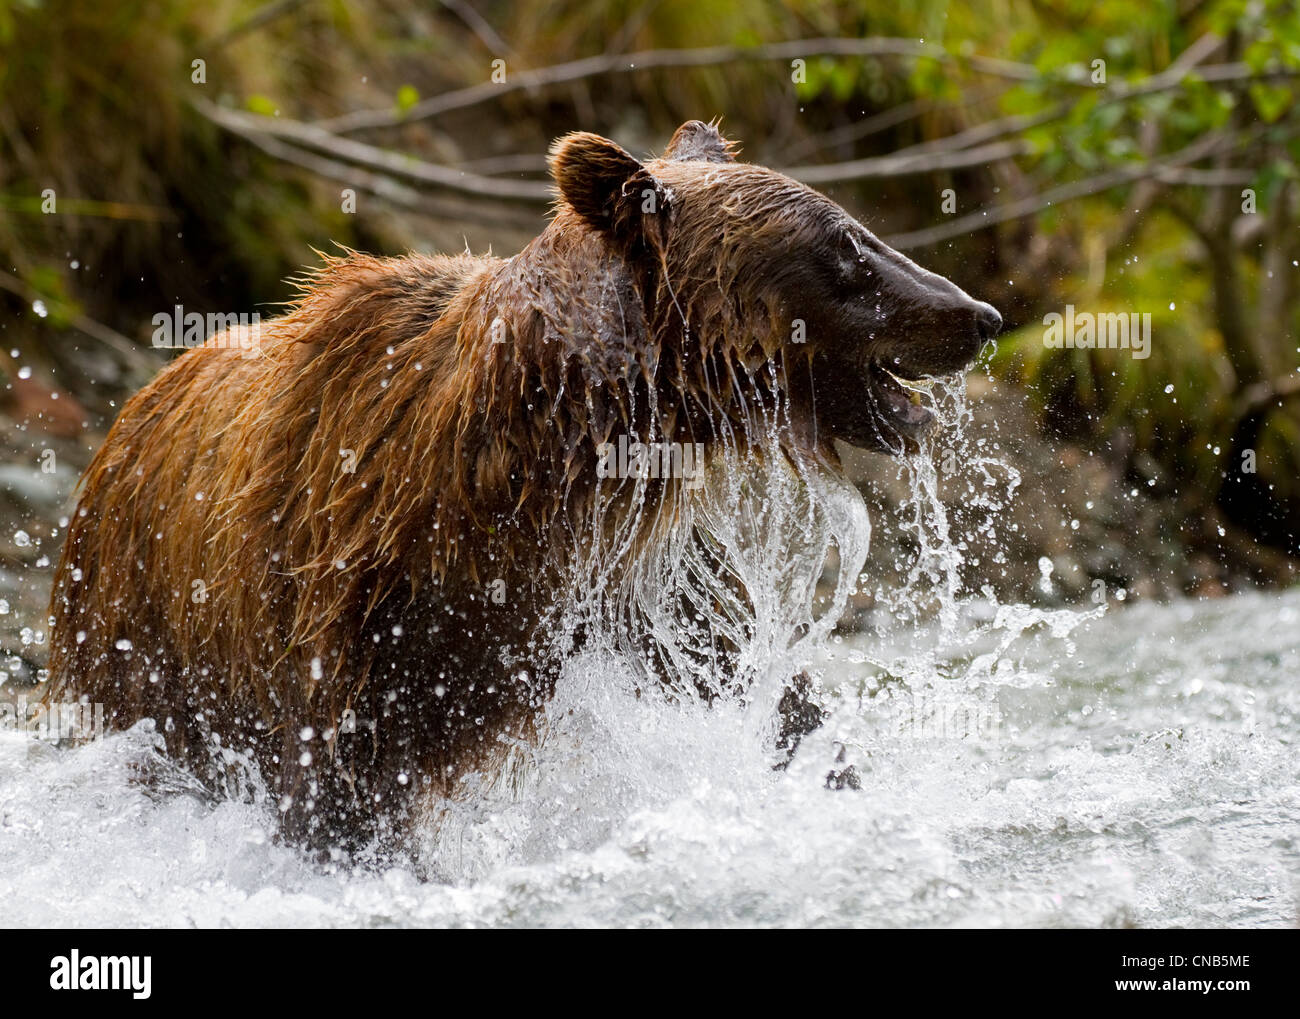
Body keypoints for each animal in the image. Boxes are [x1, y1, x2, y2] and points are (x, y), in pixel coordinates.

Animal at [47, 120, 1000, 851]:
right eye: (847, 245)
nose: (978, 314)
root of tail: (120, 423)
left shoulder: (638, 587)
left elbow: (760, 697)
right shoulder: (352, 609)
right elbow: (338, 786)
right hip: (140, 637)